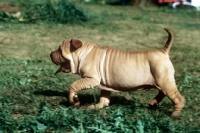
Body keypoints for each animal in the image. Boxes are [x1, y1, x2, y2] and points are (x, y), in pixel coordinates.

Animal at [50, 28, 186, 116]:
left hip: (164, 79)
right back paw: (153, 103)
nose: (50, 54)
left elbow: (73, 85)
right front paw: (96, 107)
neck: (83, 52)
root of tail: (163, 51)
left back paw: (174, 115)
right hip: (161, 81)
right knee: (162, 92)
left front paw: (73, 100)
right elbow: (104, 98)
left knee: (178, 98)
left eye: (59, 49)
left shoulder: (91, 79)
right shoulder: (104, 84)